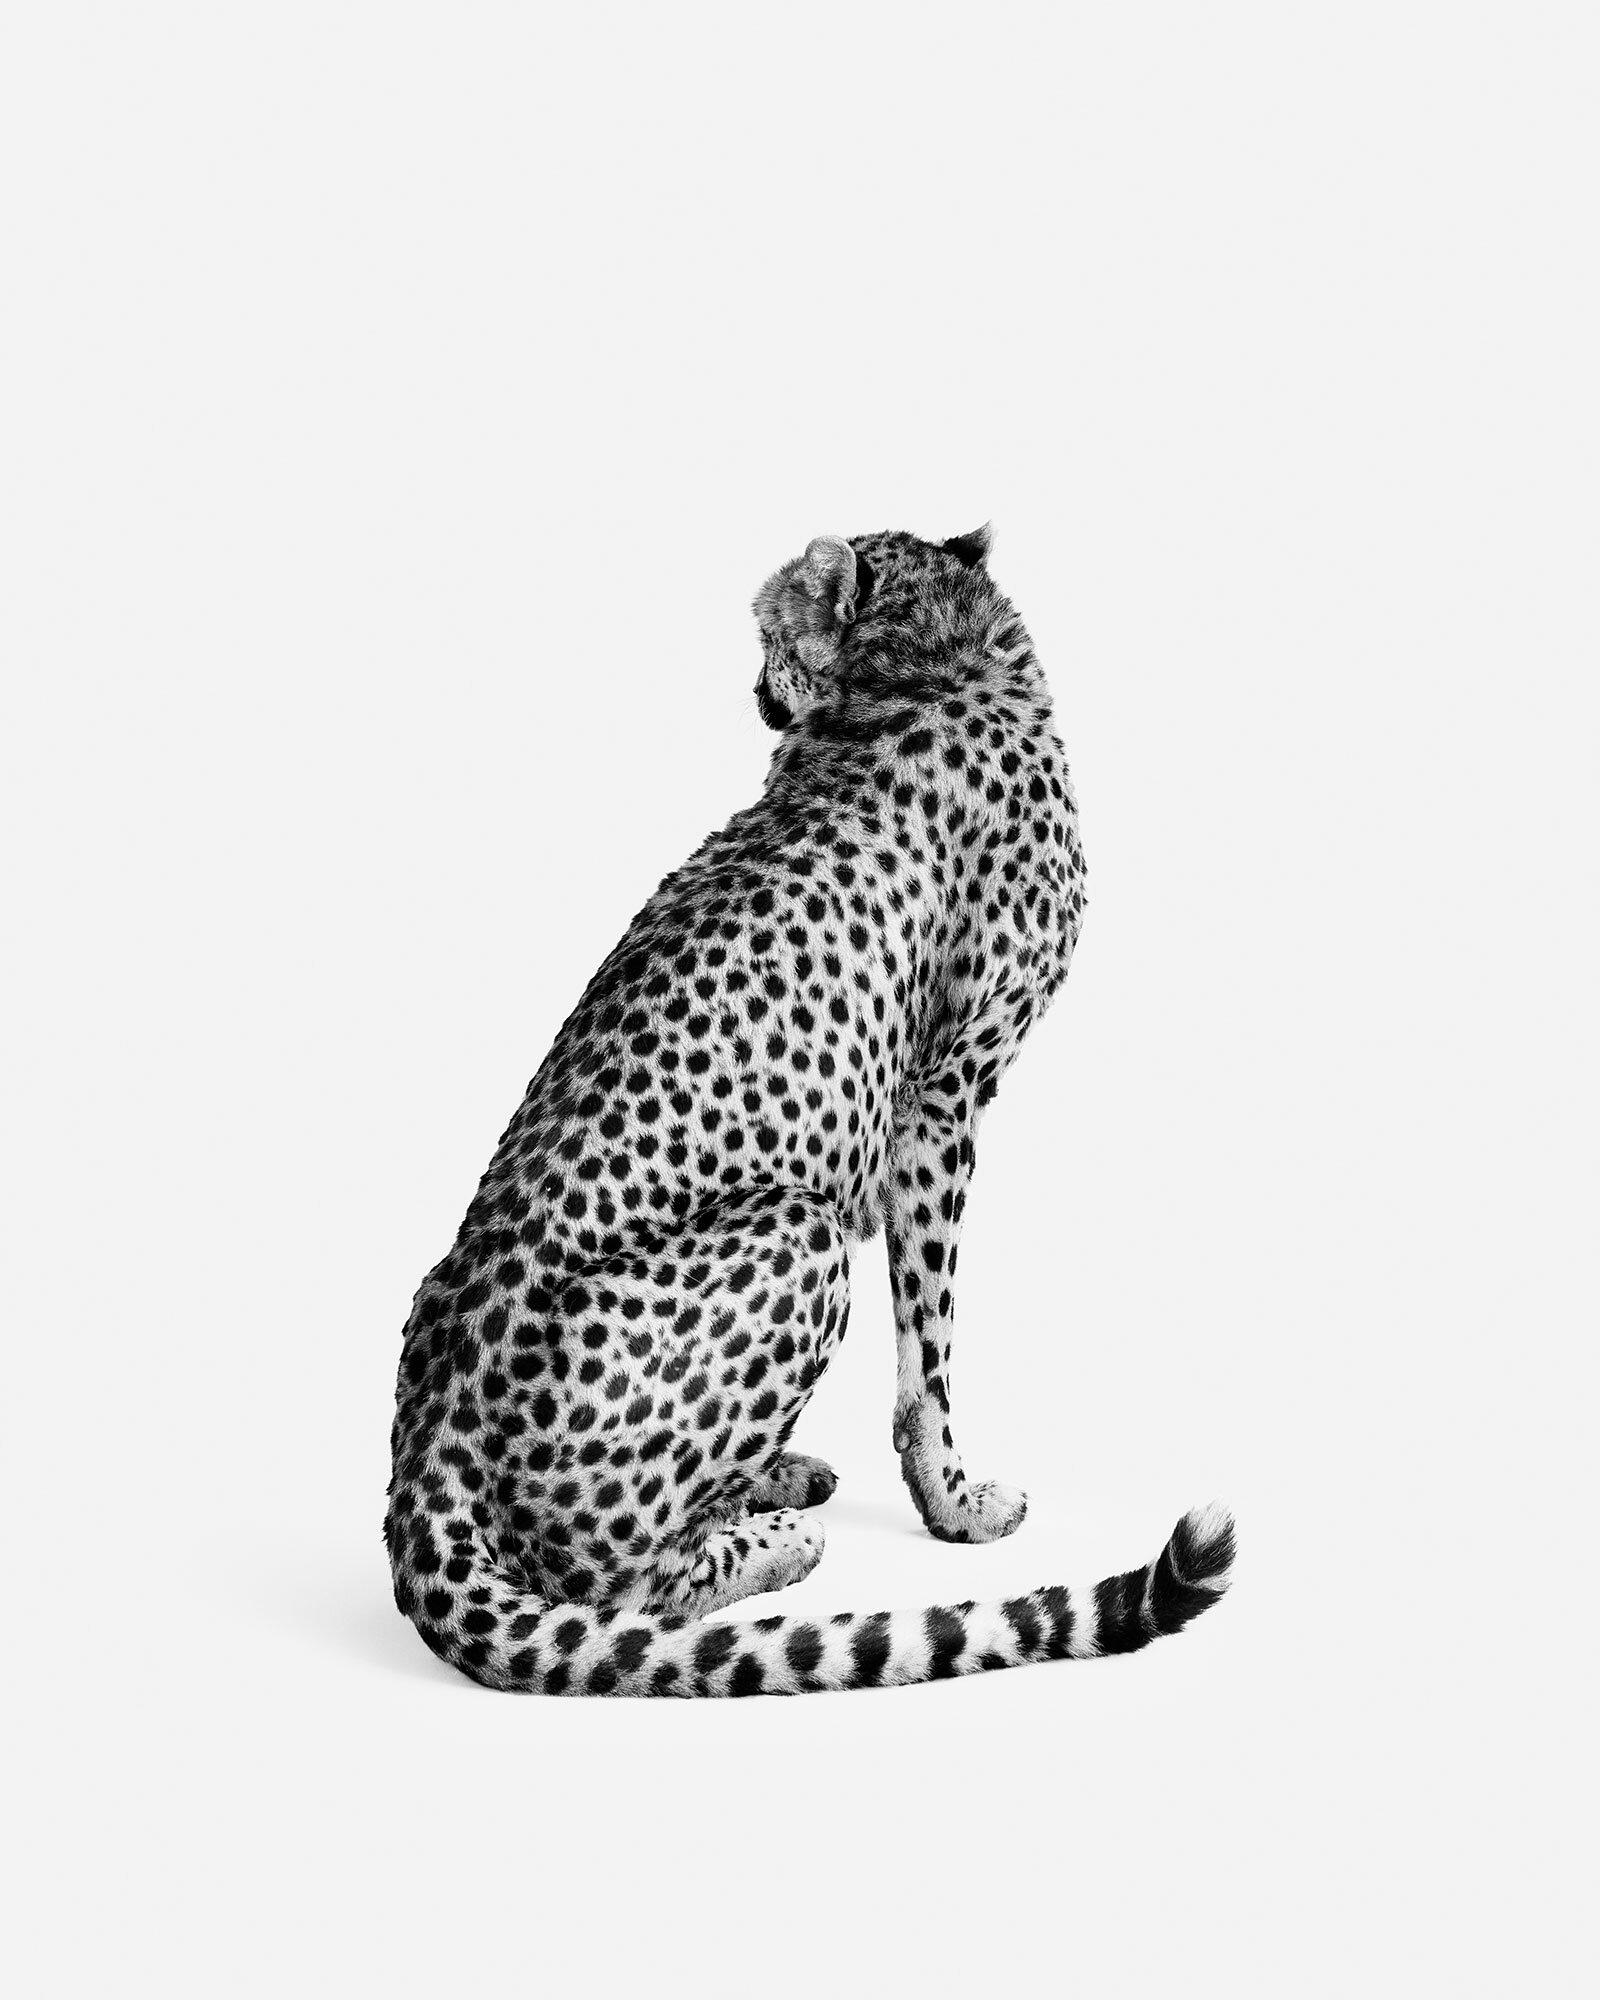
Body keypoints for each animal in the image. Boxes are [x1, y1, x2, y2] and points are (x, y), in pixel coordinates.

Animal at [384, 522, 1234, 1695]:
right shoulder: (940, 1098)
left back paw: (769, 1476)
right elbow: (931, 1345)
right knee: (616, 1587)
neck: (926, 659)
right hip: (799, 1230)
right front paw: (955, 1502)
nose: (752, 690)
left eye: (766, 633)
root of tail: (431, 1435)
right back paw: (776, 1540)